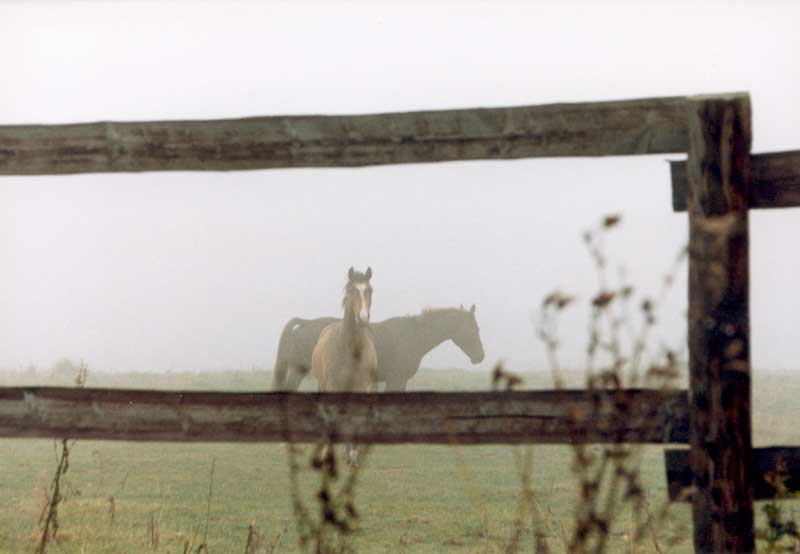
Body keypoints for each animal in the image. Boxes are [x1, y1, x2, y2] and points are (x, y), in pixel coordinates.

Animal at [310, 266, 378, 464]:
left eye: (370, 290)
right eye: (352, 291)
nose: (363, 318)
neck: (350, 348)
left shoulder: (361, 387)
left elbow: (356, 418)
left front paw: (353, 454)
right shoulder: (333, 386)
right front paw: (329, 453)